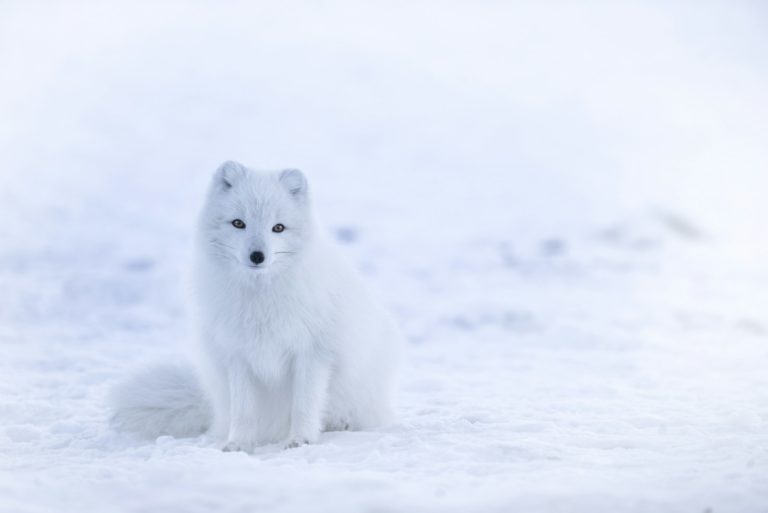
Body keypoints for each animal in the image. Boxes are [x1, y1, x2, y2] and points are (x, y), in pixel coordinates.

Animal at [114, 162, 404, 450]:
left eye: (278, 228)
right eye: (238, 223)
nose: (257, 256)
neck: (260, 297)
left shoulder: (312, 353)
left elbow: (304, 404)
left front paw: (300, 439)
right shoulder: (238, 355)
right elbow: (243, 410)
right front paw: (239, 444)